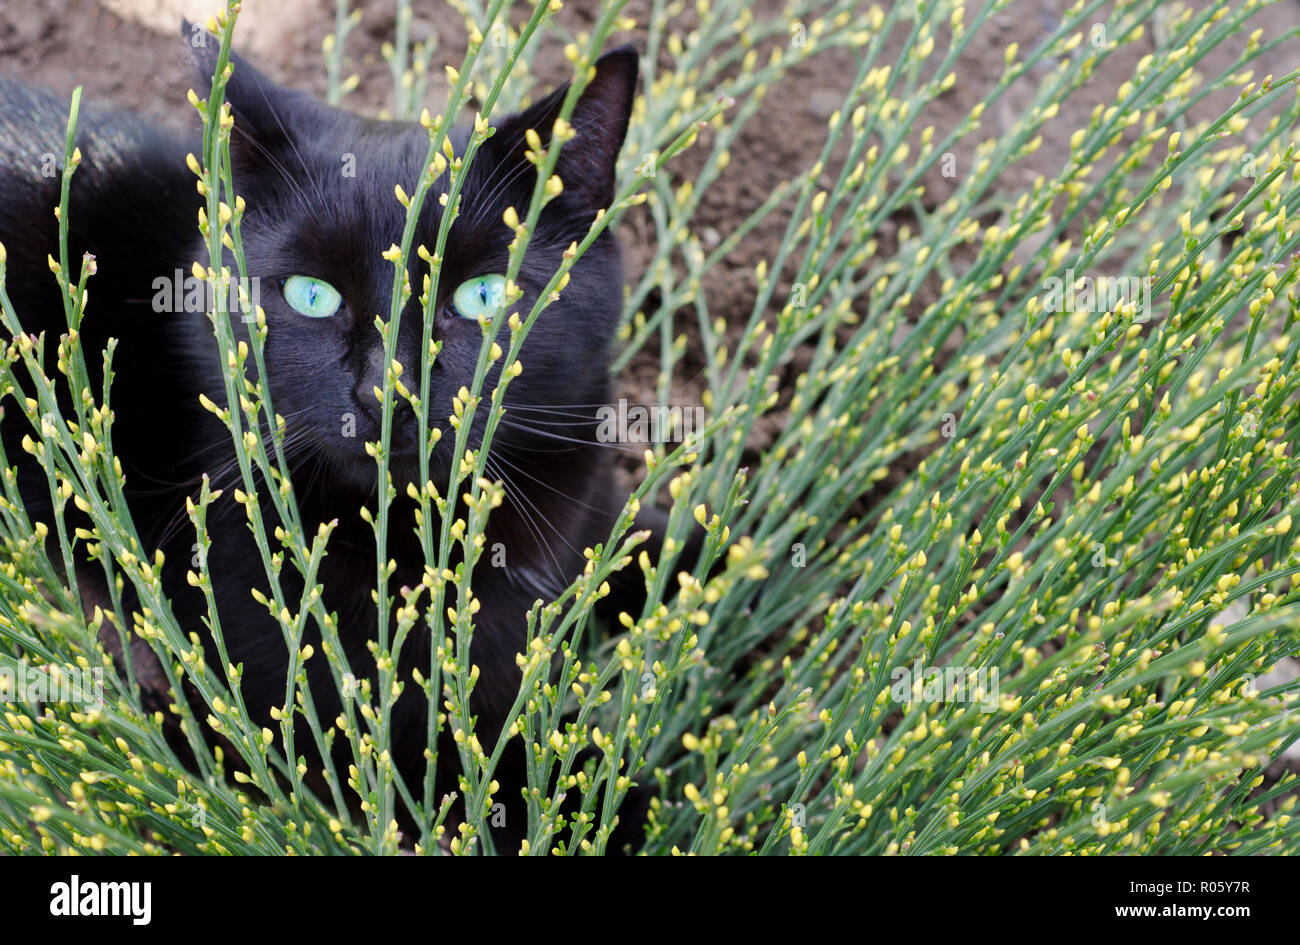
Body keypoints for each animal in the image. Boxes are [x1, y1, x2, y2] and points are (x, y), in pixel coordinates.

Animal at [0, 25, 670, 852]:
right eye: (312, 297)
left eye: (481, 295)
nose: (388, 392)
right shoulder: (306, 705)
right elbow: (473, 766)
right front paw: (615, 801)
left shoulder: (587, 504)